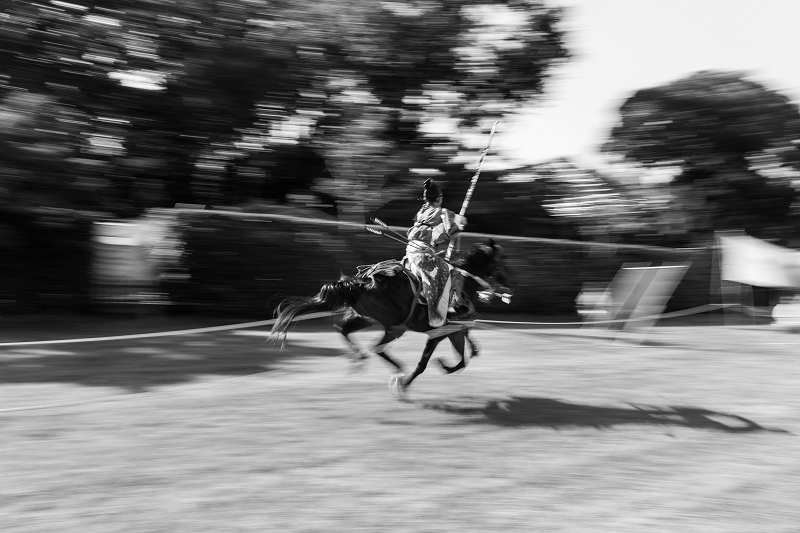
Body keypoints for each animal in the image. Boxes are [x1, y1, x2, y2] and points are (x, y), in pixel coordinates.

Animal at [270, 239, 512, 392]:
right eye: (503, 259)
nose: (508, 281)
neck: (462, 284)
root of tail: (363, 281)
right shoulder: (438, 332)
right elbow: (427, 363)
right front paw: (406, 384)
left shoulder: (454, 330)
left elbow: (465, 357)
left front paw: (446, 365)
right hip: (395, 325)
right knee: (376, 347)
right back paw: (396, 370)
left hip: (366, 317)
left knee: (344, 331)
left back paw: (360, 360)